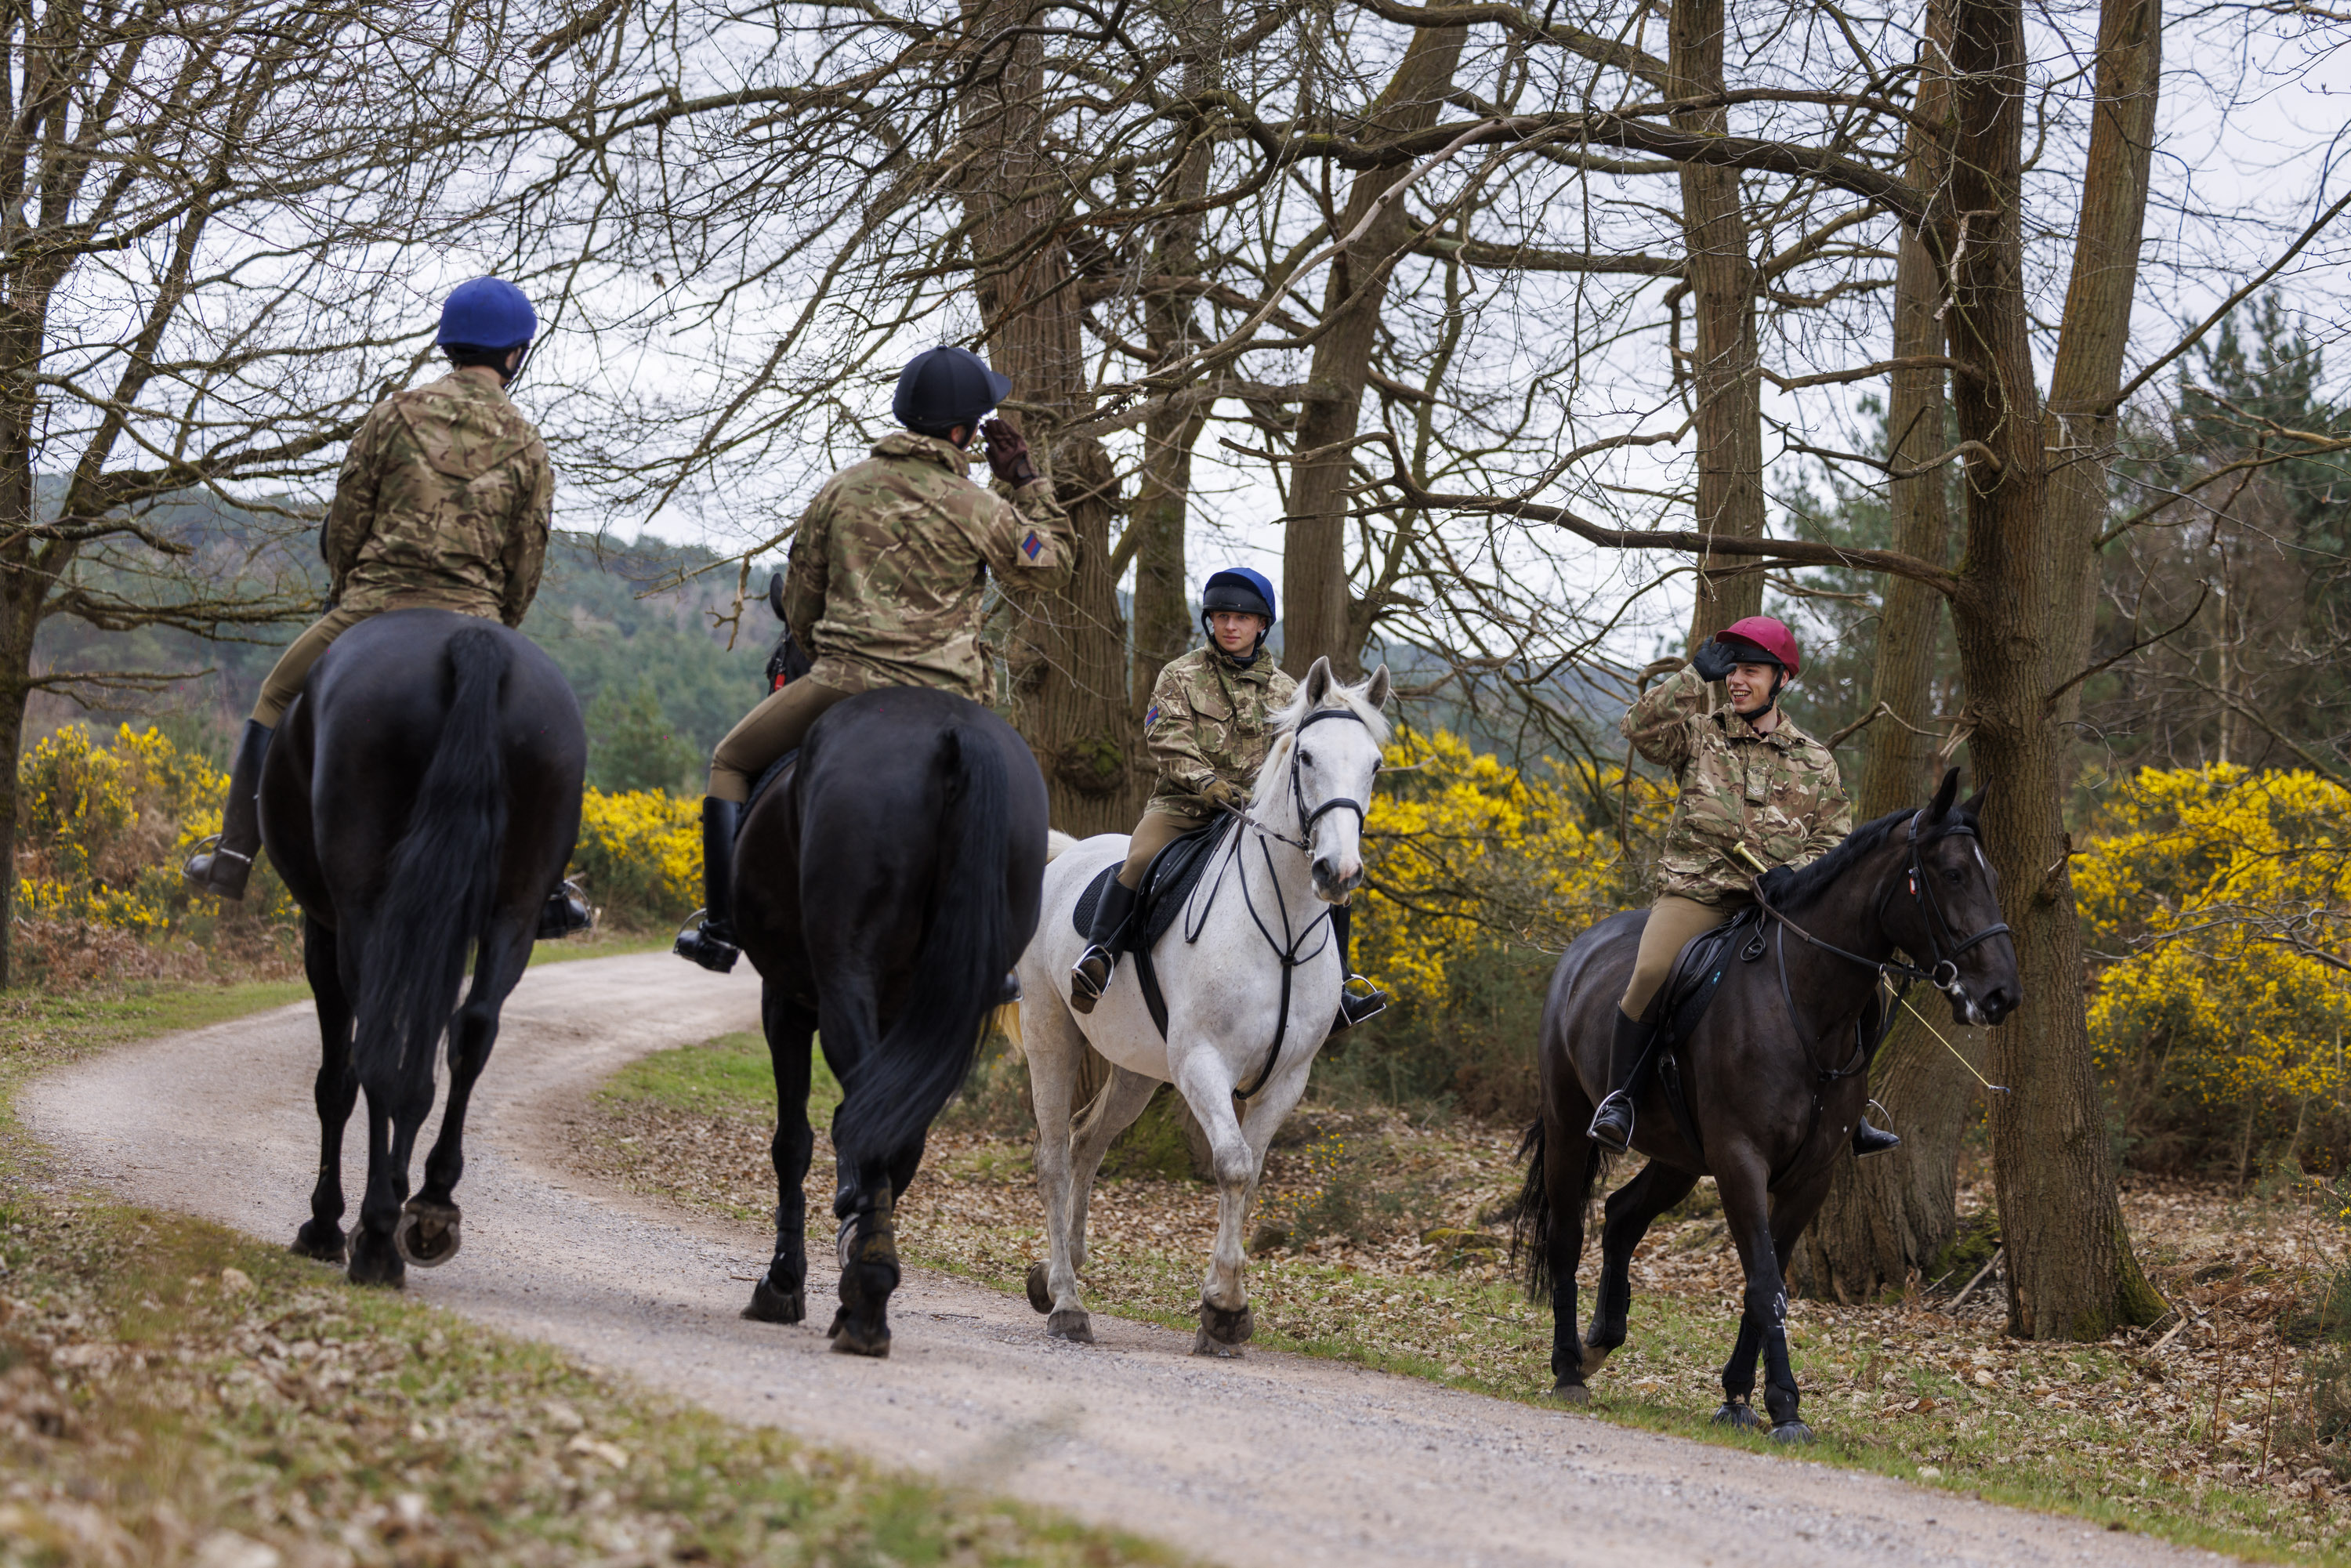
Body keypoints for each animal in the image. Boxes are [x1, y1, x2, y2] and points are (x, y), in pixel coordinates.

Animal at [264, 609, 586, 1287]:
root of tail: (470, 641)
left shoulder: (324, 930)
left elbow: (336, 1081)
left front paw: (326, 1224)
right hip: (515, 909)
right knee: (472, 1028)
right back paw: (431, 1203)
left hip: (363, 908)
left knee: (379, 1047)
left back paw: (376, 1237)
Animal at [730, 673, 1050, 1357]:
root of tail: (955, 734)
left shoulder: (785, 1001)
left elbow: (792, 1142)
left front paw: (783, 1283)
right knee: (897, 1129)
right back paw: (866, 1280)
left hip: (844, 980)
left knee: (865, 1120)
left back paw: (866, 1293)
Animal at [1015, 658, 1391, 1354]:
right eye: (1306, 756)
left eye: (1375, 765)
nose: (1339, 872)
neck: (1281, 925)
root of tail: (1070, 853)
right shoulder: (1203, 1063)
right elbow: (1234, 1165)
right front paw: (1224, 1308)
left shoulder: (1287, 1078)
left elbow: (1252, 1171)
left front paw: (1223, 1312)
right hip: (1050, 1033)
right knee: (1054, 1157)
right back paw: (1068, 1305)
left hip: (1136, 1068)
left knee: (1086, 1142)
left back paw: (1056, 1271)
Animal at [1511, 767, 2019, 1439]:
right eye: (1954, 874)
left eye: (1992, 877)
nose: (2002, 995)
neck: (1803, 1000)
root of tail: (1580, 950)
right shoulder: (1740, 1159)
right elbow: (1765, 1282)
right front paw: (1785, 1406)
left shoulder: (1810, 1176)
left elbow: (1767, 1277)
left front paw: (1740, 1398)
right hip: (1573, 1126)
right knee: (1568, 1234)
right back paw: (1569, 1368)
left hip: (1679, 1158)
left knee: (1621, 1216)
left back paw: (1602, 1338)